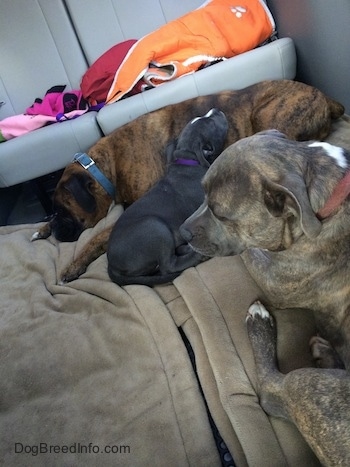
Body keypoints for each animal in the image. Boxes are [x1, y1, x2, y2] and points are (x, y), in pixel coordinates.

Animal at [32, 79, 344, 282]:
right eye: (54, 211)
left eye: (63, 210)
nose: (58, 230)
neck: (108, 163)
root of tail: (324, 96)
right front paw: (42, 229)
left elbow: (97, 237)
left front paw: (73, 265)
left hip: (268, 116)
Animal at [180, 130, 350, 466]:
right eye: (202, 194)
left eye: (221, 214)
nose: (182, 232)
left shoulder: (274, 280)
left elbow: (251, 251)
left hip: (313, 390)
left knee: (272, 392)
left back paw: (260, 326)